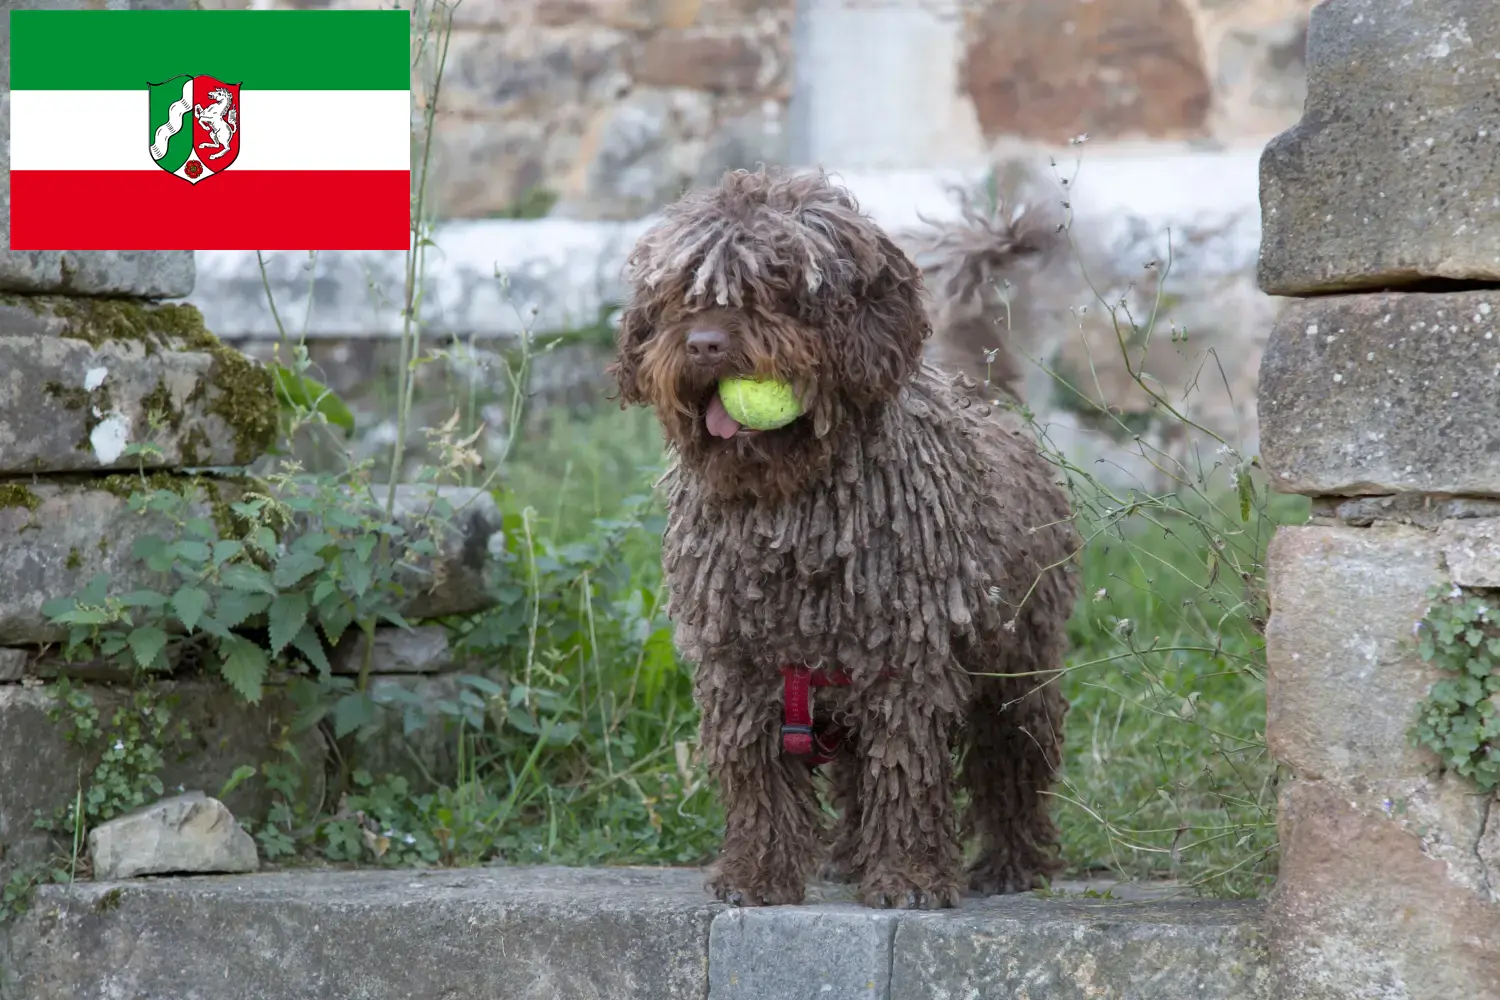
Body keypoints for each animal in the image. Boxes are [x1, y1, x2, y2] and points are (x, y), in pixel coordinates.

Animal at [609, 167, 1080, 911]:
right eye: (685, 291)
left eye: (778, 285)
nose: (705, 344)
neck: (788, 509)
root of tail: (987, 396)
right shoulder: (740, 668)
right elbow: (759, 781)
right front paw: (757, 874)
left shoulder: (904, 660)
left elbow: (908, 772)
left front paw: (910, 878)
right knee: (861, 773)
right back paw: (854, 858)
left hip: (1018, 660)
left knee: (1012, 759)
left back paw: (1012, 864)